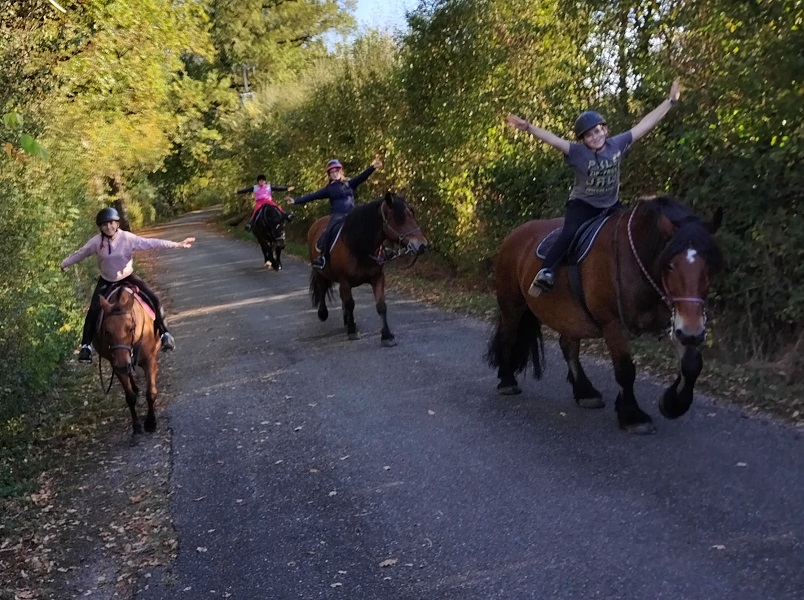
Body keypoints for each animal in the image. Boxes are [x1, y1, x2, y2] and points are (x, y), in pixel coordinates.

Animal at [96, 288, 162, 434]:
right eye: (106, 331)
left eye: (131, 328)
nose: (122, 365)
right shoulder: (116, 366)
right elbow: (130, 397)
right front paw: (136, 425)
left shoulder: (150, 360)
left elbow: (151, 393)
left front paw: (150, 422)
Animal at [308, 192, 430, 342]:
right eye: (399, 220)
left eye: (412, 215)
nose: (422, 245)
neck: (358, 245)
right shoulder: (345, 281)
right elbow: (350, 304)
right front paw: (352, 330)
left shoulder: (377, 278)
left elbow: (381, 306)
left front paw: (386, 335)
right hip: (319, 273)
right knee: (322, 289)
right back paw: (323, 313)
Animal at [486, 198, 724, 436]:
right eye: (670, 265)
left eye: (710, 266)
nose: (693, 332)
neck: (637, 264)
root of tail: (515, 234)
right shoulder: (613, 324)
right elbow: (625, 370)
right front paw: (633, 416)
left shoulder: (678, 320)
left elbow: (692, 364)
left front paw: (673, 404)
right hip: (512, 305)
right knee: (508, 337)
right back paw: (507, 381)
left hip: (567, 314)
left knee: (568, 346)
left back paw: (585, 392)